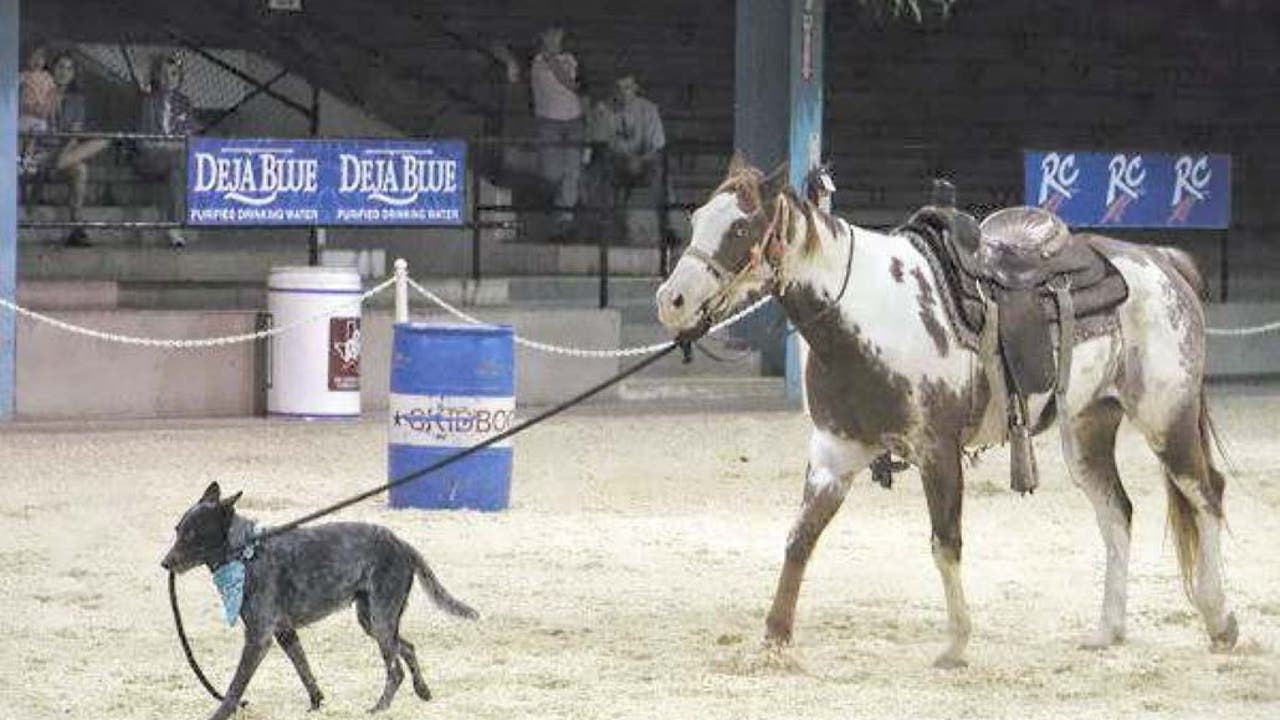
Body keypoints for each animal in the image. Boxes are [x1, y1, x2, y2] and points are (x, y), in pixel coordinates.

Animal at [161, 479, 476, 712]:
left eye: (192, 534)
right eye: (178, 529)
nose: (165, 563)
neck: (246, 552)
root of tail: (402, 544)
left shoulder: (258, 637)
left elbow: (235, 687)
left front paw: (221, 713)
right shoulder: (284, 633)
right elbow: (305, 670)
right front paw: (316, 704)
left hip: (381, 618)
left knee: (395, 668)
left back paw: (380, 708)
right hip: (372, 619)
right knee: (408, 648)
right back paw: (422, 691)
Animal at [655, 154, 1233, 666]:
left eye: (740, 228)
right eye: (697, 220)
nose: (670, 301)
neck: (865, 312)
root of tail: (1164, 262)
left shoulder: (938, 451)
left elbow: (945, 542)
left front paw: (956, 644)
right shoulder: (832, 453)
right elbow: (801, 538)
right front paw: (775, 637)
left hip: (1166, 418)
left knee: (1206, 494)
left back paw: (1220, 620)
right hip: (1088, 431)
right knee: (1117, 512)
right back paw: (1108, 629)